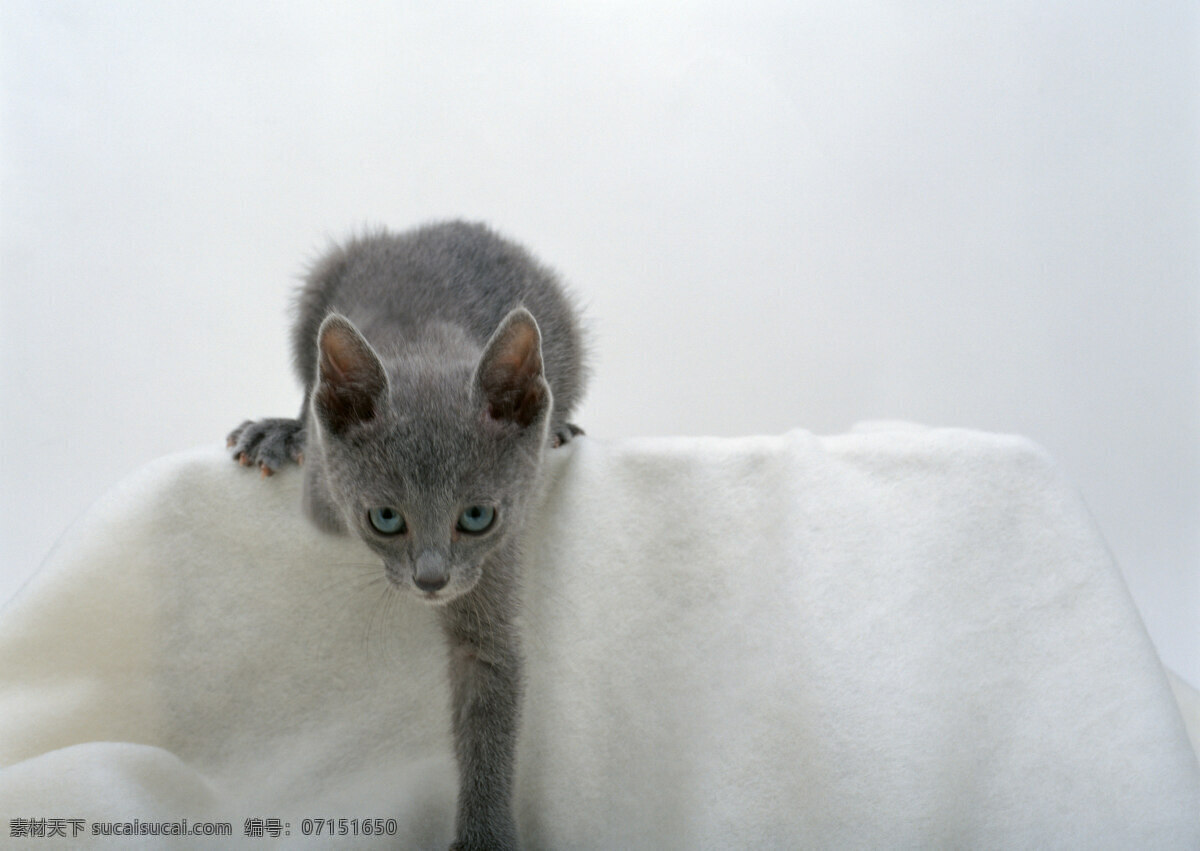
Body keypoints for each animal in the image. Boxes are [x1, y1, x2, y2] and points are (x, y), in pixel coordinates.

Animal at [226, 220, 588, 849]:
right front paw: (292, 432)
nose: (431, 580)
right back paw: (279, 431)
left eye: (476, 516)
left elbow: (488, 674)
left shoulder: (498, 552)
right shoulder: (326, 496)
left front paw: (485, 836)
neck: (425, 343)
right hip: (322, 280)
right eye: (386, 519)